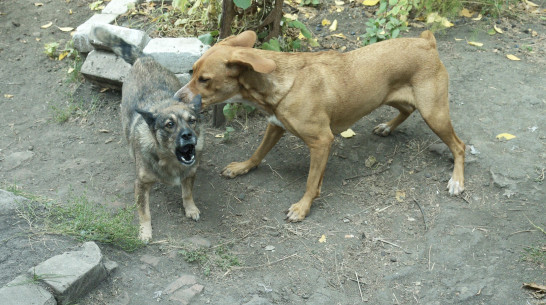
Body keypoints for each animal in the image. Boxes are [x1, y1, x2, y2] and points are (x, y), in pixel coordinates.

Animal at [92, 25, 203, 240]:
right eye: (169, 124)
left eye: (192, 121)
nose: (187, 135)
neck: (170, 162)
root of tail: (143, 59)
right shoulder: (141, 185)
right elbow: (144, 211)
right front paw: (145, 231)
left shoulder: (190, 173)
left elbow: (187, 193)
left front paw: (191, 208)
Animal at [175, 30, 464, 221]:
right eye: (191, 71)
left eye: (204, 79)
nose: (177, 97)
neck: (281, 83)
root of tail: (426, 41)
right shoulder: (275, 125)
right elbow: (258, 153)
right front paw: (242, 167)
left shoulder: (321, 142)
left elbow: (311, 182)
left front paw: (303, 207)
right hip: (394, 97)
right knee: (407, 109)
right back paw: (387, 127)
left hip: (434, 113)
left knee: (459, 146)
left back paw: (457, 181)